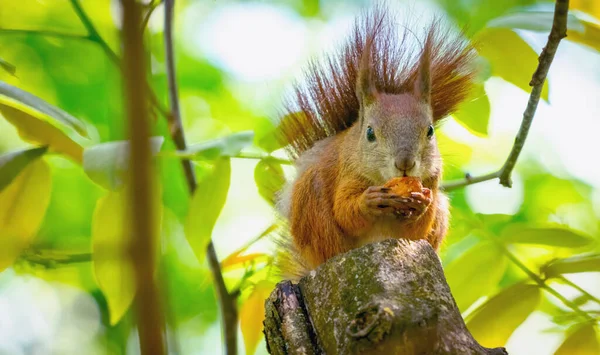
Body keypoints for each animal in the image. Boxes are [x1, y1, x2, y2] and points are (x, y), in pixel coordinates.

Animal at [274, 4, 476, 280]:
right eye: (370, 133)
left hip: (442, 213)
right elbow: (344, 212)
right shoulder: (347, 172)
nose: (405, 163)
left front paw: (421, 204)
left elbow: (417, 230)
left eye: (430, 131)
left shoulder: (432, 182)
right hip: (312, 206)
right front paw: (368, 202)